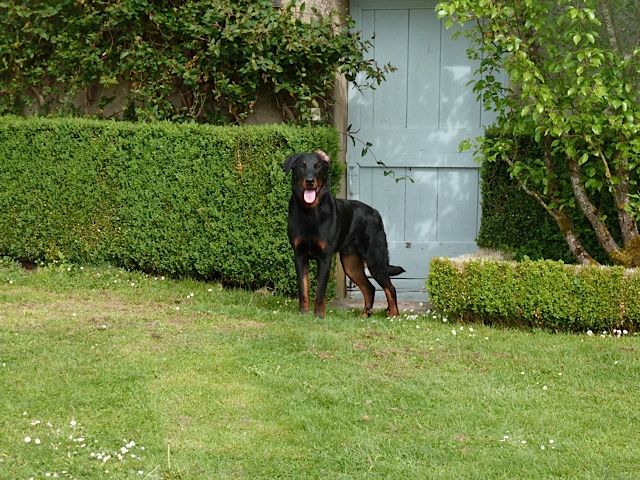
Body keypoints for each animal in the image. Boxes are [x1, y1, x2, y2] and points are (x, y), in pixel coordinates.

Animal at [282, 150, 404, 318]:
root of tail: (376, 212)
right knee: (369, 288)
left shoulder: (325, 258)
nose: (310, 181)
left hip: (375, 259)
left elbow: (320, 292)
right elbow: (303, 290)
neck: (310, 212)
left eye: (318, 166)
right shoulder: (299, 255)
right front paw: (303, 315)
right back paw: (364, 315)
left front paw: (318, 316)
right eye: (302, 166)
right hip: (350, 264)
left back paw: (393, 315)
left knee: (390, 288)